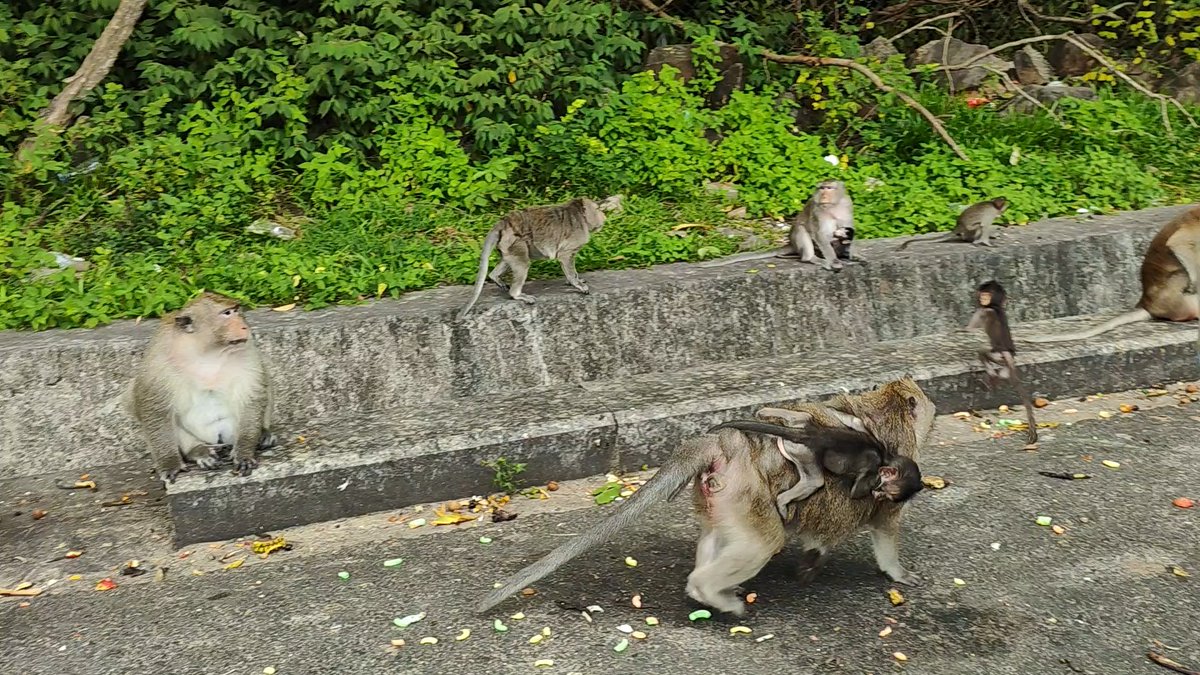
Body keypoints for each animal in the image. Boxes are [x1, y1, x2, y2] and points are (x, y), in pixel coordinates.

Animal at [124, 292, 275, 484]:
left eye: (236, 311)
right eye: (226, 313)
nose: (243, 326)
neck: (207, 351)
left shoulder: (246, 350)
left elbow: (251, 396)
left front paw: (244, 451)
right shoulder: (158, 361)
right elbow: (154, 407)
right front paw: (169, 463)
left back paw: (263, 434)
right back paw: (198, 451)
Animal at [456, 195, 623, 321]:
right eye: (598, 210)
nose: (603, 218)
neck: (580, 215)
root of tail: (504, 223)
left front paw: (575, 280)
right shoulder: (570, 247)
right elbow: (565, 258)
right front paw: (577, 284)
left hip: (508, 246)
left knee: (506, 262)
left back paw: (495, 277)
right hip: (516, 243)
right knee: (523, 264)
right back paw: (517, 294)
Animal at [700, 180, 853, 272]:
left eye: (829, 188)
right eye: (822, 188)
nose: (824, 196)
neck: (833, 206)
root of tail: (792, 244)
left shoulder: (847, 205)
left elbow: (847, 229)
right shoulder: (818, 210)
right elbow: (820, 235)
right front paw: (834, 261)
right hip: (798, 239)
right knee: (802, 230)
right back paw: (812, 258)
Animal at [707, 419, 924, 516]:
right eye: (888, 491)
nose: (882, 495)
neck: (885, 456)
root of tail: (810, 436)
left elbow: (856, 422)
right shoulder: (872, 468)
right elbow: (856, 492)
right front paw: (871, 494)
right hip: (805, 453)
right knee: (815, 481)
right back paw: (782, 502)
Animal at [967, 280, 1039, 445]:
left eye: (986, 294)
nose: (983, 298)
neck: (994, 305)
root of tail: (1007, 351)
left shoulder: (983, 311)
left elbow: (974, 326)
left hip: (995, 353)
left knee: (982, 350)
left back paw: (990, 376)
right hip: (1002, 358)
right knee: (1005, 372)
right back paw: (997, 378)